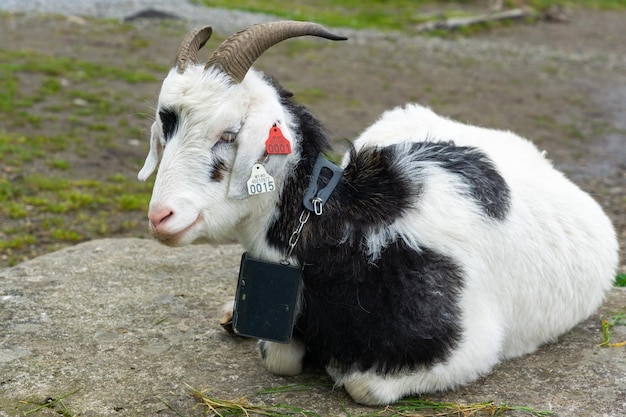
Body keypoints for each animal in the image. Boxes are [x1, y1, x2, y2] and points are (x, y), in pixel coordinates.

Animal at [139, 21, 616, 404]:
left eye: (230, 134)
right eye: (166, 127)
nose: (160, 217)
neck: (351, 229)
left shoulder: (469, 348)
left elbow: (362, 385)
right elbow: (279, 358)